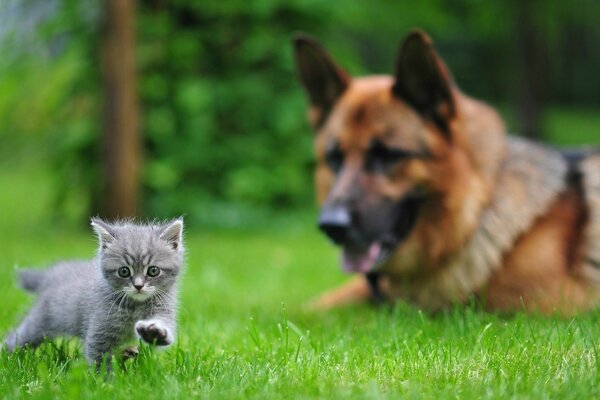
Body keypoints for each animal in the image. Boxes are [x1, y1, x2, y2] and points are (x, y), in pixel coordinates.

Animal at [2, 217, 184, 368]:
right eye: (124, 271)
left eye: (153, 271)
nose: (138, 286)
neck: (135, 306)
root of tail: (52, 274)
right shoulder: (100, 329)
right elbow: (99, 358)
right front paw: (106, 382)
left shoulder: (162, 307)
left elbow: (163, 327)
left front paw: (154, 333)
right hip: (41, 321)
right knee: (18, 337)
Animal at [292, 29, 600, 314]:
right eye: (334, 158)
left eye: (388, 155)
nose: (332, 226)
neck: (476, 213)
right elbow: (312, 307)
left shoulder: (549, 303)